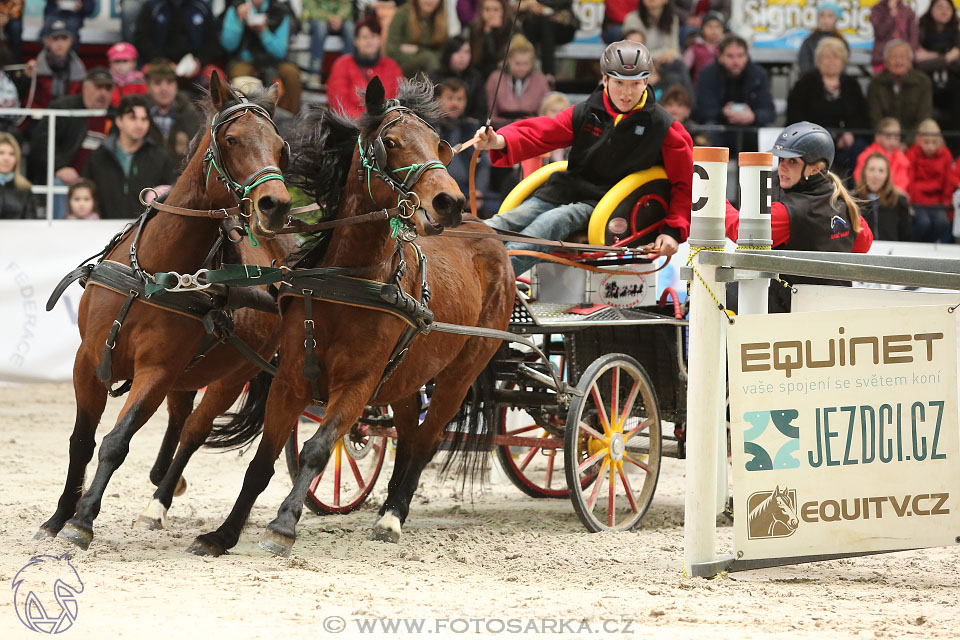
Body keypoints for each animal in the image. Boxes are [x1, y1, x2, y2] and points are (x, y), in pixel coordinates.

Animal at [38, 74, 292, 552]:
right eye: (232, 139)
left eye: (281, 147)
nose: (277, 204)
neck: (154, 273)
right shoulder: (87, 360)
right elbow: (81, 442)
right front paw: (59, 517)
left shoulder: (155, 371)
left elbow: (115, 443)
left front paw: (83, 520)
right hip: (188, 374)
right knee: (179, 424)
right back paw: (161, 493)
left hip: (230, 375)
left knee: (192, 431)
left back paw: (167, 503)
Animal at [188, 76, 516, 556]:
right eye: (391, 142)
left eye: (439, 144)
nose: (449, 202)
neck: (349, 281)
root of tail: (489, 234)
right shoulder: (290, 379)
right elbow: (262, 463)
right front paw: (223, 534)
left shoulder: (358, 384)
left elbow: (318, 449)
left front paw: (282, 526)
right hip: (406, 377)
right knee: (408, 435)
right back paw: (389, 509)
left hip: (460, 375)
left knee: (427, 441)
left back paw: (393, 517)